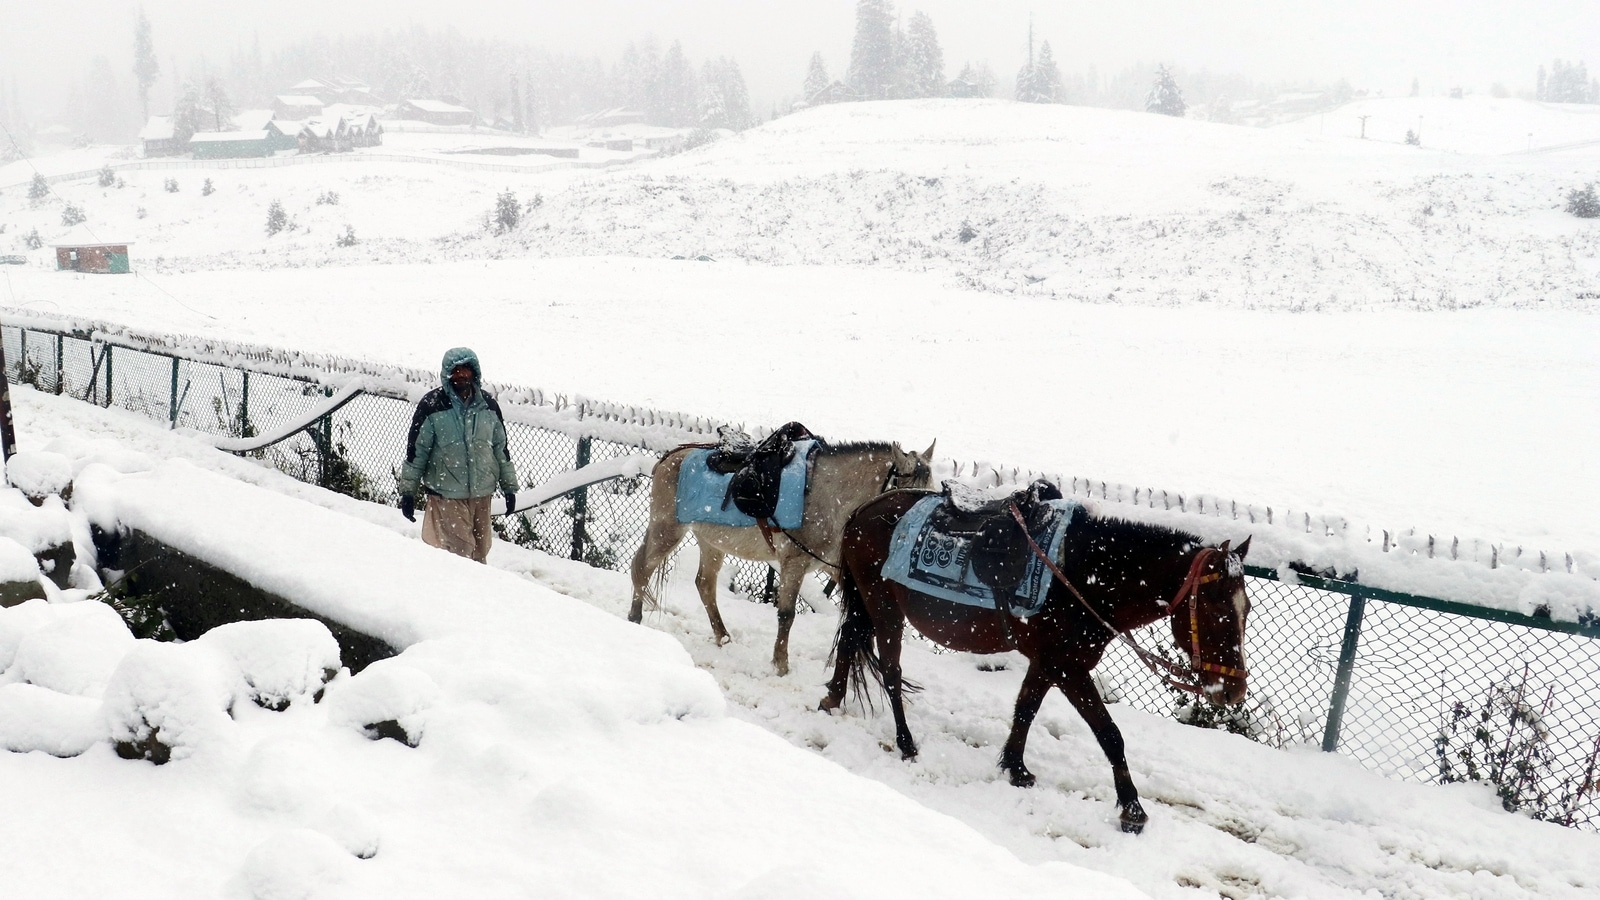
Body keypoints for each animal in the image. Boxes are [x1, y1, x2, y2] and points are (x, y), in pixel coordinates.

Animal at [825, 486, 1248, 832]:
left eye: (1245, 611)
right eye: (1217, 610)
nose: (1233, 691)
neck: (1085, 576)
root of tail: (864, 508)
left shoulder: (1046, 664)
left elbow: (1025, 709)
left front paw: (1016, 767)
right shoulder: (1068, 668)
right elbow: (1110, 734)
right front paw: (1132, 810)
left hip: (867, 605)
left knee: (848, 641)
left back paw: (831, 699)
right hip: (884, 608)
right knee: (891, 671)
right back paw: (906, 742)